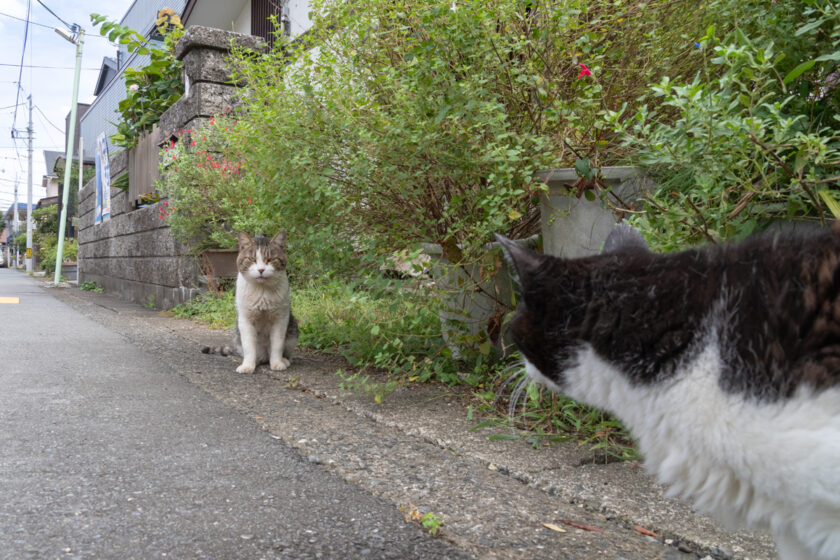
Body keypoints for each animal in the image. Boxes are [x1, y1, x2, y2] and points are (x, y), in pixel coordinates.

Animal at [203, 230, 298, 374]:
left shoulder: (280, 319)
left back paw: (284, 360)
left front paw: (277, 363)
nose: (261, 270)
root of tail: (265, 356)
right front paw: (248, 366)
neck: (262, 292)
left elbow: (277, 345)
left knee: (286, 353)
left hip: (292, 328)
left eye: (270, 259)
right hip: (237, 332)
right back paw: (257, 361)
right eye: (252, 259)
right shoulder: (245, 320)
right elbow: (249, 346)